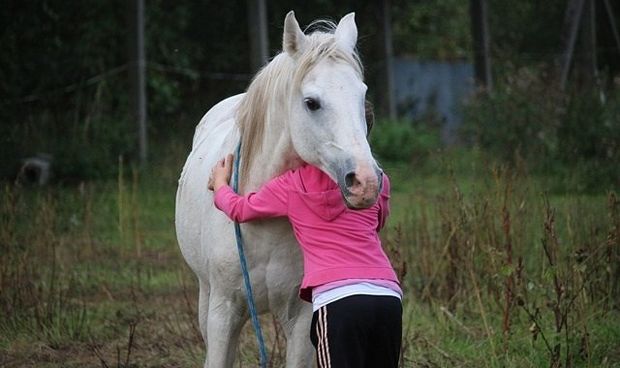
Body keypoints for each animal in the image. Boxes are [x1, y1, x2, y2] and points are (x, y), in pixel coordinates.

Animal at [174, 11, 382, 368]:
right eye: (311, 103)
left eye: (362, 96)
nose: (366, 182)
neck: (264, 221)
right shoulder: (222, 313)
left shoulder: (302, 318)